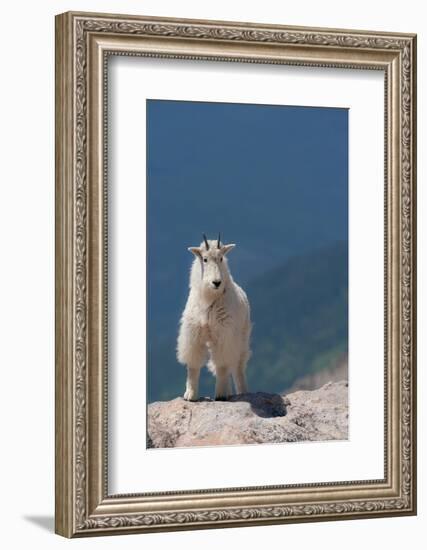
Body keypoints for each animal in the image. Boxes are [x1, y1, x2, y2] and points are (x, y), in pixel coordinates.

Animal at [176, 235, 251, 404]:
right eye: (204, 259)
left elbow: (222, 364)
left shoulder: (225, 335)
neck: (209, 299)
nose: (216, 282)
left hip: (241, 337)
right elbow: (193, 365)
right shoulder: (194, 335)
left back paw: (241, 391)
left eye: (221, 258)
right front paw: (190, 395)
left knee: (237, 366)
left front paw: (221, 395)